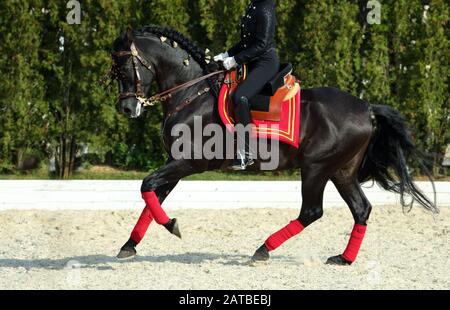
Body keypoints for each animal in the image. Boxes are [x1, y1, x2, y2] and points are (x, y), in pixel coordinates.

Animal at [109, 25, 436, 266]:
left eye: (124, 68)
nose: (126, 109)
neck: (192, 92)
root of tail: (366, 107)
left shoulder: (190, 162)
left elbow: (147, 185)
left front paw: (172, 225)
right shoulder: (175, 164)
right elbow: (153, 197)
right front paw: (129, 245)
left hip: (316, 168)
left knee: (312, 211)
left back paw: (263, 250)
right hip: (341, 171)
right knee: (361, 209)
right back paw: (343, 259)